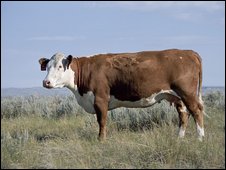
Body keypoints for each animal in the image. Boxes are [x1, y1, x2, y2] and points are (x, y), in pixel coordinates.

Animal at [38, 48, 205, 141]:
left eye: (60, 66)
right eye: (47, 67)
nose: (46, 82)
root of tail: (188, 52)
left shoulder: (100, 99)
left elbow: (102, 121)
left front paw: (101, 140)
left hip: (187, 93)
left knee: (196, 111)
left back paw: (200, 138)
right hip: (177, 97)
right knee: (183, 114)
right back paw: (179, 138)